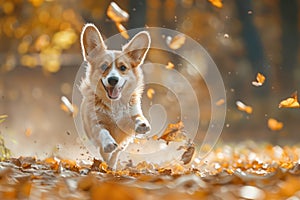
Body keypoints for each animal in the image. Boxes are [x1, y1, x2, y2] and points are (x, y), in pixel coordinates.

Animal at [79, 23, 151, 169]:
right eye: (103, 66)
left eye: (123, 68)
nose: (113, 80)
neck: (115, 104)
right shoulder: (95, 123)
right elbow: (103, 132)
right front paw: (108, 143)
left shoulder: (128, 119)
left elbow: (137, 118)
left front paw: (142, 124)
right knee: (106, 153)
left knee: (117, 152)